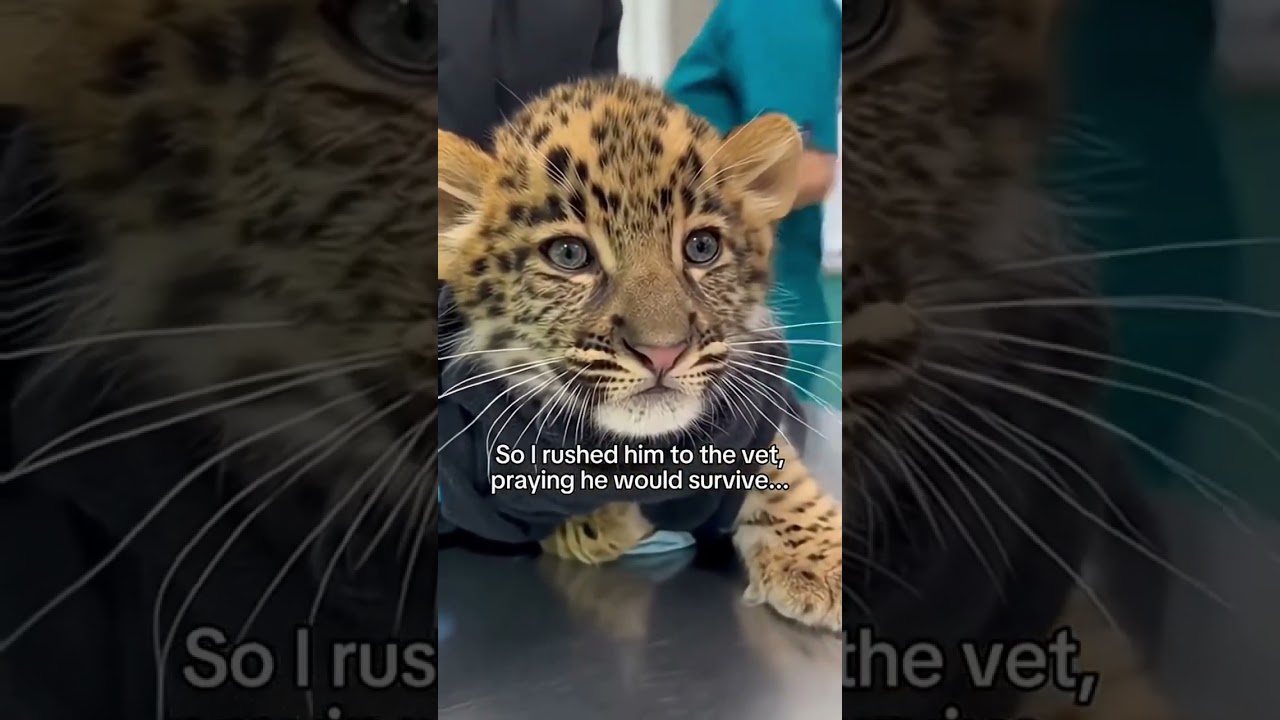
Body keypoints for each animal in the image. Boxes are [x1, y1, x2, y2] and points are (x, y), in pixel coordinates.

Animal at [437, 76, 843, 633]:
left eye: (701, 248)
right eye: (569, 255)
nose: (663, 352)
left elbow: (777, 467)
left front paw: (824, 559)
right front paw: (606, 519)